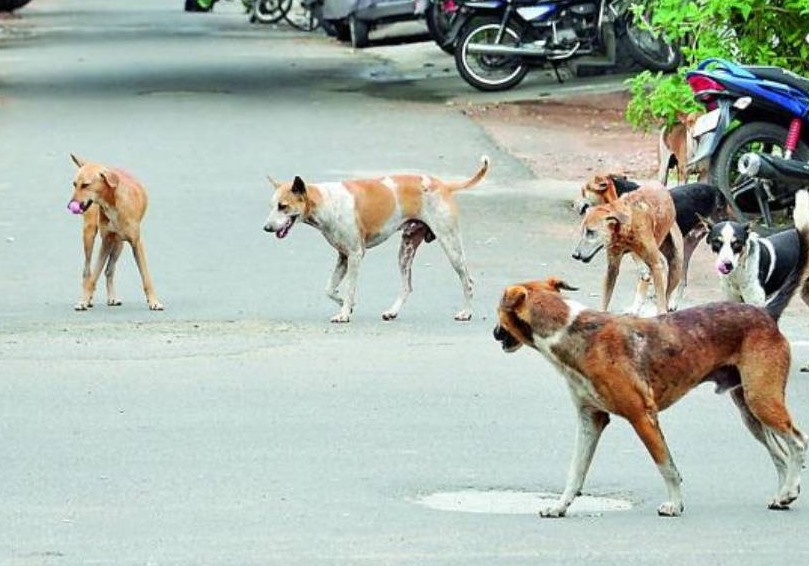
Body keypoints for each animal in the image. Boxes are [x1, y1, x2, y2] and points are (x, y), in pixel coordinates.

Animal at [66, 155, 163, 312]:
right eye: (74, 184)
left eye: (85, 185)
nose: (70, 205)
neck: (112, 203)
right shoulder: (106, 241)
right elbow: (94, 276)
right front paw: (84, 300)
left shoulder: (136, 243)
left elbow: (146, 276)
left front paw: (154, 301)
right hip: (89, 234)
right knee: (87, 271)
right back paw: (89, 298)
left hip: (119, 244)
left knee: (109, 270)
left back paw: (111, 297)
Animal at [262, 158, 486, 324]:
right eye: (272, 206)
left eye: (283, 206)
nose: (266, 228)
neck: (326, 201)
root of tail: (443, 185)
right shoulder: (343, 257)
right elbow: (329, 289)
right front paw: (347, 306)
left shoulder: (355, 255)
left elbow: (349, 288)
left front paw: (344, 314)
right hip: (405, 251)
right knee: (407, 287)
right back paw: (392, 312)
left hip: (451, 245)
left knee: (468, 280)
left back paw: (466, 312)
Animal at [492, 278, 808, 520]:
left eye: (498, 313)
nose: (494, 333)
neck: (570, 331)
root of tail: (766, 313)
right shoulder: (590, 420)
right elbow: (575, 472)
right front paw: (559, 507)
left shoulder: (642, 416)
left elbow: (667, 467)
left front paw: (675, 505)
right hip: (750, 412)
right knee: (780, 454)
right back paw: (782, 496)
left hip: (762, 400)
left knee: (797, 442)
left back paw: (790, 491)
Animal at [568, 185, 680, 316]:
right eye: (582, 232)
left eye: (591, 232)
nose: (575, 255)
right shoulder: (612, 268)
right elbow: (605, 299)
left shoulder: (655, 264)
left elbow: (661, 302)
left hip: (676, 263)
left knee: (670, 287)